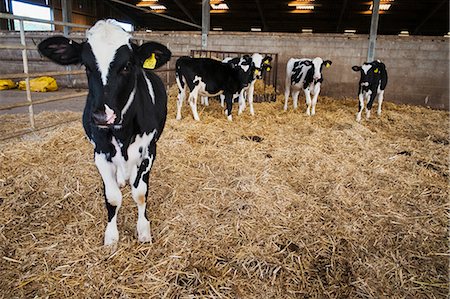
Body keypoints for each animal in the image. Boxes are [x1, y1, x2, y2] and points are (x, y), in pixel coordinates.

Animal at [37, 19, 171, 247]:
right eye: (86, 66)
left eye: (127, 66)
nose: (101, 116)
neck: (122, 134)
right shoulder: (100, 153)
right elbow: (113, 197)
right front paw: (111, 236)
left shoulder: (149, 151)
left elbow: (140, 193)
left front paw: (143, 230)